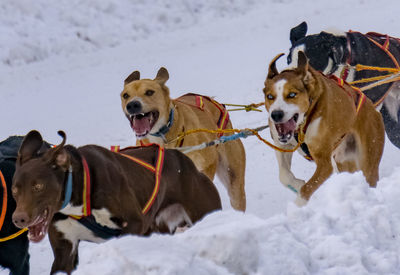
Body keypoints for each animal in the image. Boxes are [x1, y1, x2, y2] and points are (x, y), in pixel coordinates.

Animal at [10, 130, 222, 274]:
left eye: (38, 186)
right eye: (14, 190)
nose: (18, 219)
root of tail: (186, 162)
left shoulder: (134, 223)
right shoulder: (65, 249)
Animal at [262, 52, 384, 206]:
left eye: (291, 95)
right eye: (270, 96)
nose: (276, 114)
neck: (302, 125)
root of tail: (373, 109)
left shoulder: (324, 163)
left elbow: (307, 189)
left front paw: (298, 205)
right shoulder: (281, 145)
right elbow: (284, 176)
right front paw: (298, 184)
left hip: (369, 159)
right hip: (344, 162)